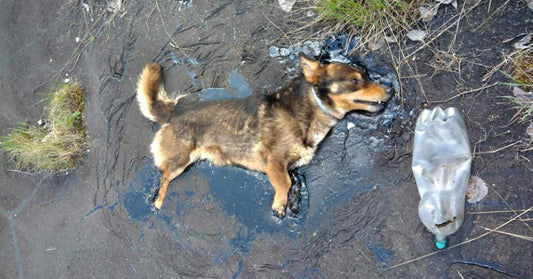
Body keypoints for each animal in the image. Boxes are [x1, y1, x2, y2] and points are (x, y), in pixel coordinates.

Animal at [135, 53, 388, 218]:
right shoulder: (274, 161)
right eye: (355, 80)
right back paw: (157, 202)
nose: (391, 90)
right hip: (178, 162)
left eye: (365, 77)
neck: (310, 108)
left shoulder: (291, 166)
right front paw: (279, 205)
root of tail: (175, 109)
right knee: (163, 179)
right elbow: (284, 183)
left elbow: (291, 182)